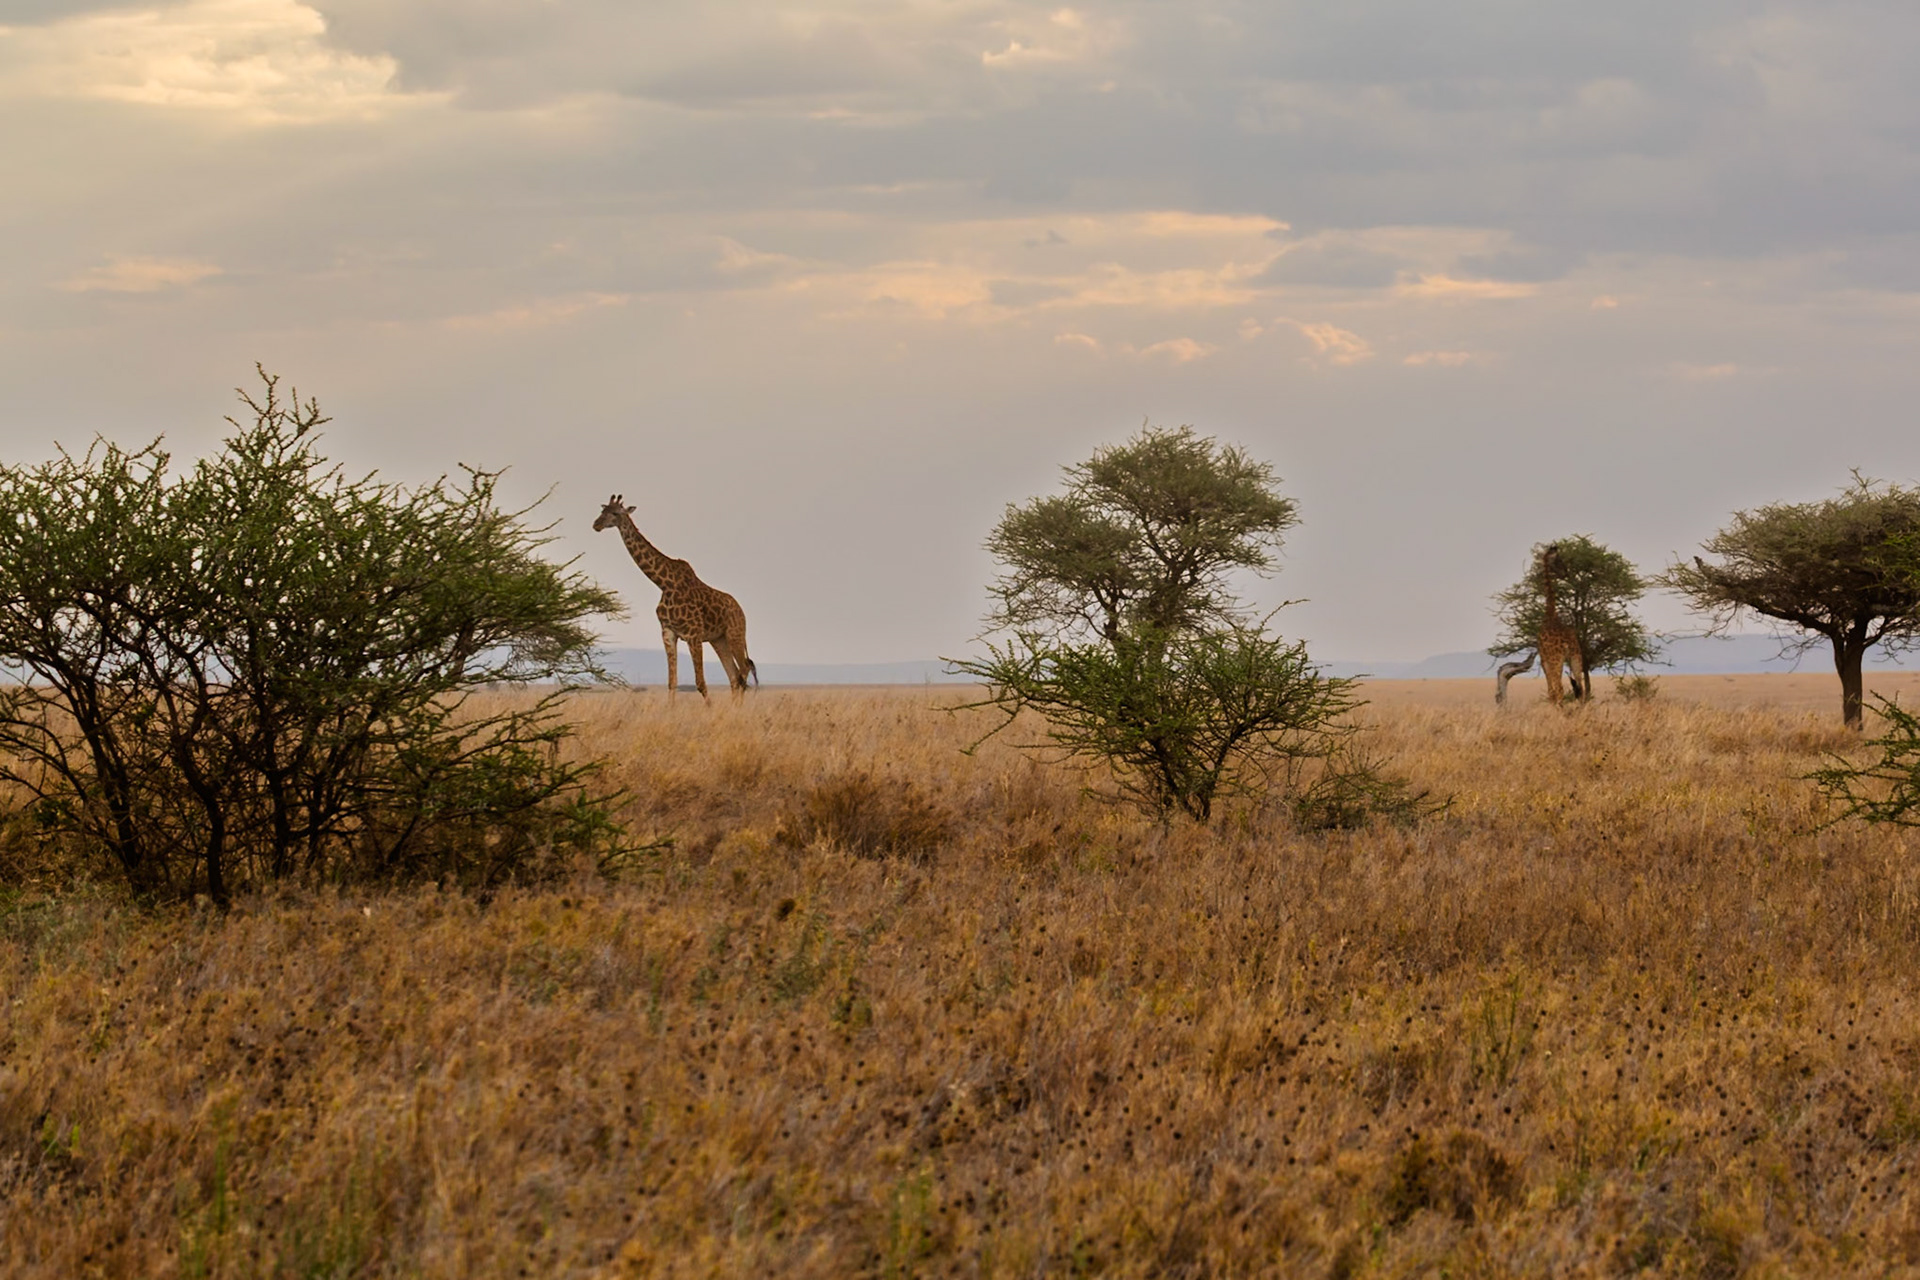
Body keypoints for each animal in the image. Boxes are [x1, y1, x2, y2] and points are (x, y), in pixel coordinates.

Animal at [594, 495, 757, 701]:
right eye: (602, 511)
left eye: (615, 513)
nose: (596, 524)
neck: (664, 583)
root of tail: (741, 611)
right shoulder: (668, 632)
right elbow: (672, 682)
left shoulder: (693, 635)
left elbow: (700, 683)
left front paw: (709, 707)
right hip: (719, 640)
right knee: (735, 677)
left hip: (735, 634)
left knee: (744, 671)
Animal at [1537, 543, 1587, 704]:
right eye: (1558, 560)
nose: (1565, 571)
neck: (1551, 614)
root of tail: (1566, 643)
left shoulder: (1543, 659)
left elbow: (1551, 691)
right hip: (1576, 656)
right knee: (1581, 688)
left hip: (1556, 659)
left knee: (1559, 690)